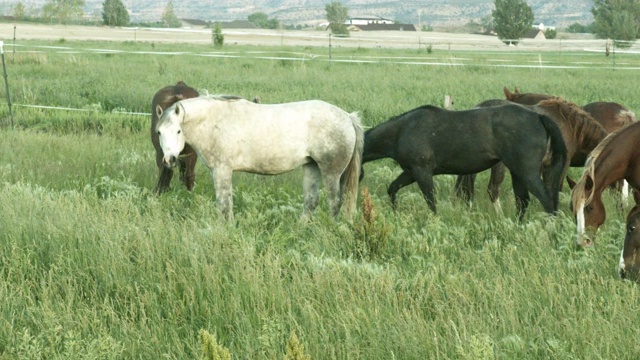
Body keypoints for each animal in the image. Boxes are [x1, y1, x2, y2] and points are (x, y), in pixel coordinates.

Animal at [154, 95, 362, 222]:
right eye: (159, 132)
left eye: (178, 130)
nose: (169, 160)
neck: (214, 122)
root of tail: (347, 117)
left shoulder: (222, 170)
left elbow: (224, 204)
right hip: (312, 168)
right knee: (311, 202)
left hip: (331, 172)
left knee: (335, 202)